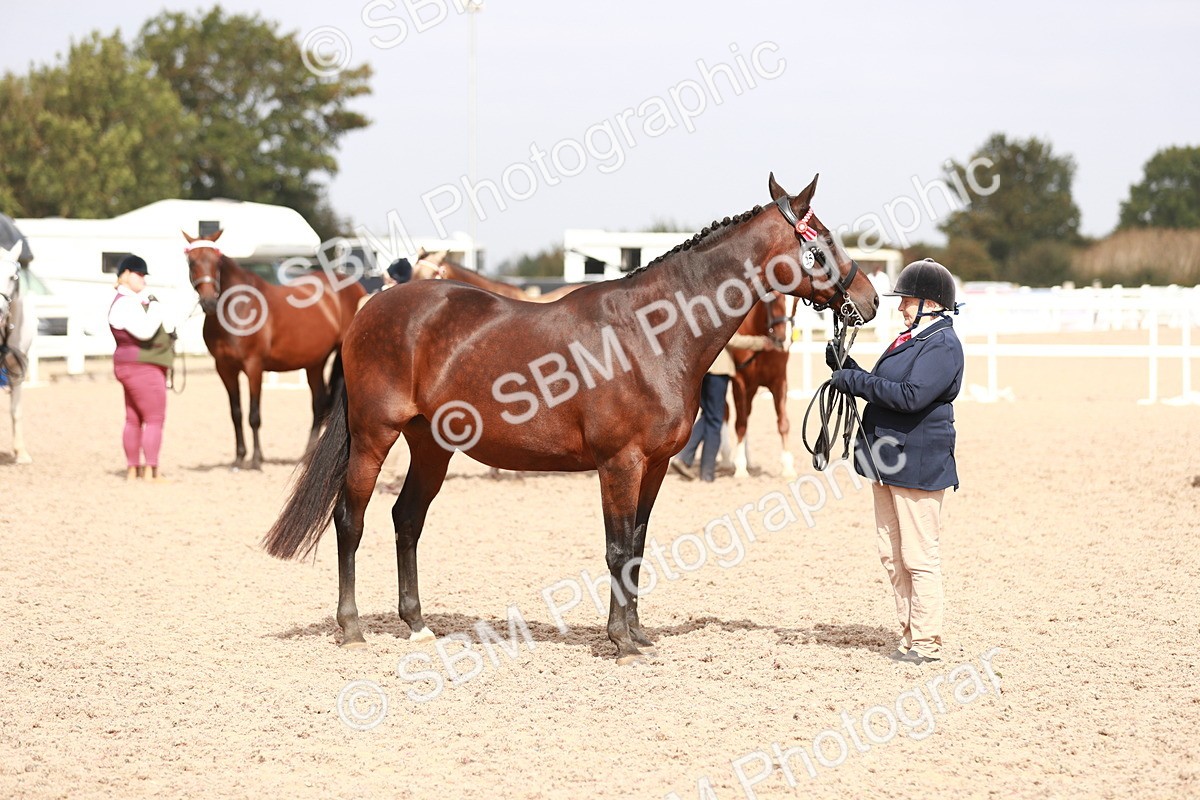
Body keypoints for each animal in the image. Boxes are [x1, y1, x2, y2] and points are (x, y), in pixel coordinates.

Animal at [183, 231, 366, 469]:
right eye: (191, 261)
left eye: (217, 261)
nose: (209, 303)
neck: (237, 308)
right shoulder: (225, 368)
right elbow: (236, 413)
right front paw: (239, 458)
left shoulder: (254, 366)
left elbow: (254, 415)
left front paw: (256, 459)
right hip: (314, 363)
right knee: (318, 404)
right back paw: (307, 455)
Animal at [727, 291, 800, 478]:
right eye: (774, 298)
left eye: (796, 301)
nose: (784, 341)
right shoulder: (739, 381)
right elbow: (740, 424)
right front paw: (740, 468)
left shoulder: (779, 382)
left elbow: (783, 423)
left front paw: (788, 467)